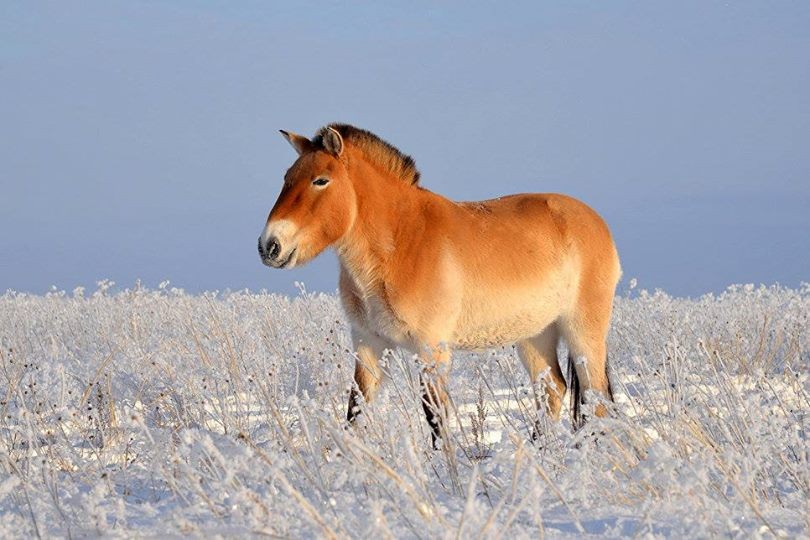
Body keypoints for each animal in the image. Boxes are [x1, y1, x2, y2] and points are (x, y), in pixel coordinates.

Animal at [258, 123, 620, 448]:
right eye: (286, 179)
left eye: (321, 180)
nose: (269, 246)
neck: (401, 243)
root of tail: (595, 222)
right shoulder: (368, 344)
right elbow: (355, 411)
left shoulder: (431, 350)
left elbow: (435, 419)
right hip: (535, 335)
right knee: (553, 390)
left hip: (582, 332)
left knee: (596, 396)